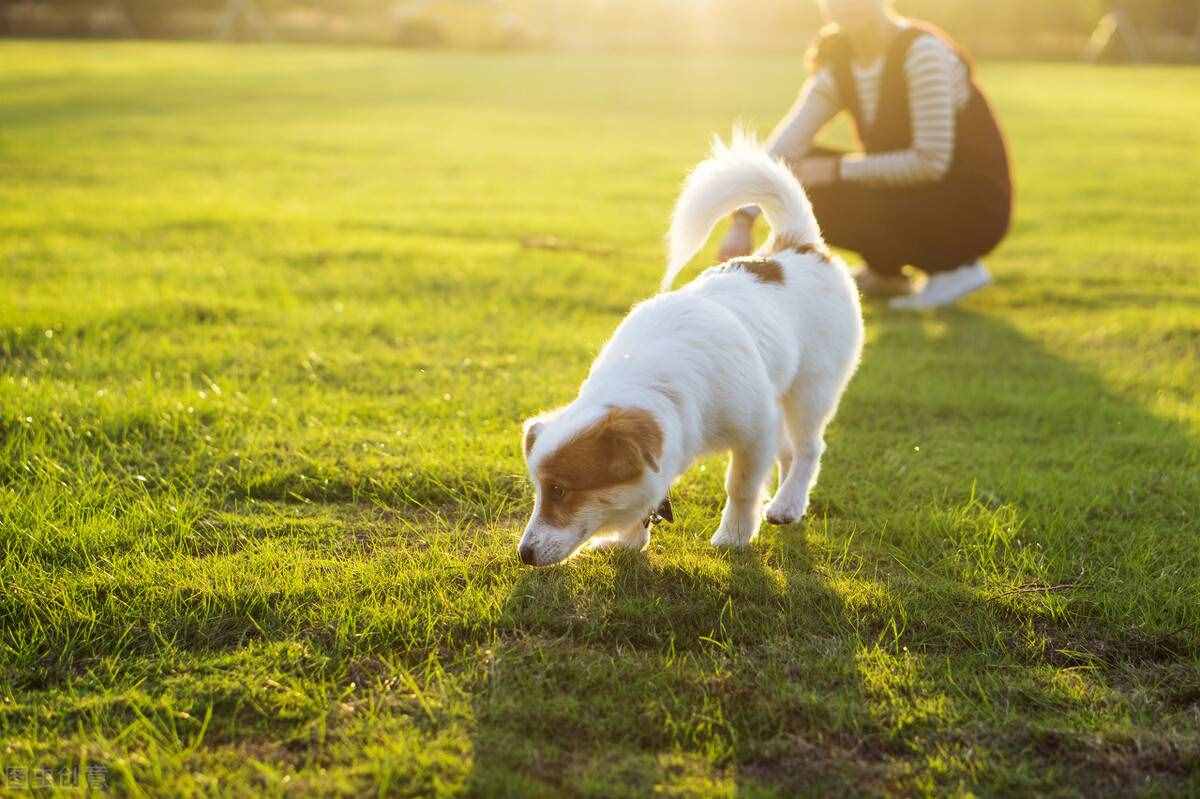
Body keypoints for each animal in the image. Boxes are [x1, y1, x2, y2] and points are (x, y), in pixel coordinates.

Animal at [516, 133, 864, 563]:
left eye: (561, 489)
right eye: (539, 490)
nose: (524, 554)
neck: (653, 379)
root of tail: (797, 245)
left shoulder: (755, 430)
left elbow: (741, 486)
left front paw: (734, 535)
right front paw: (629, 538)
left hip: (812, 390)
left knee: (808, 448)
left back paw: (789, 503)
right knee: (788, 452)